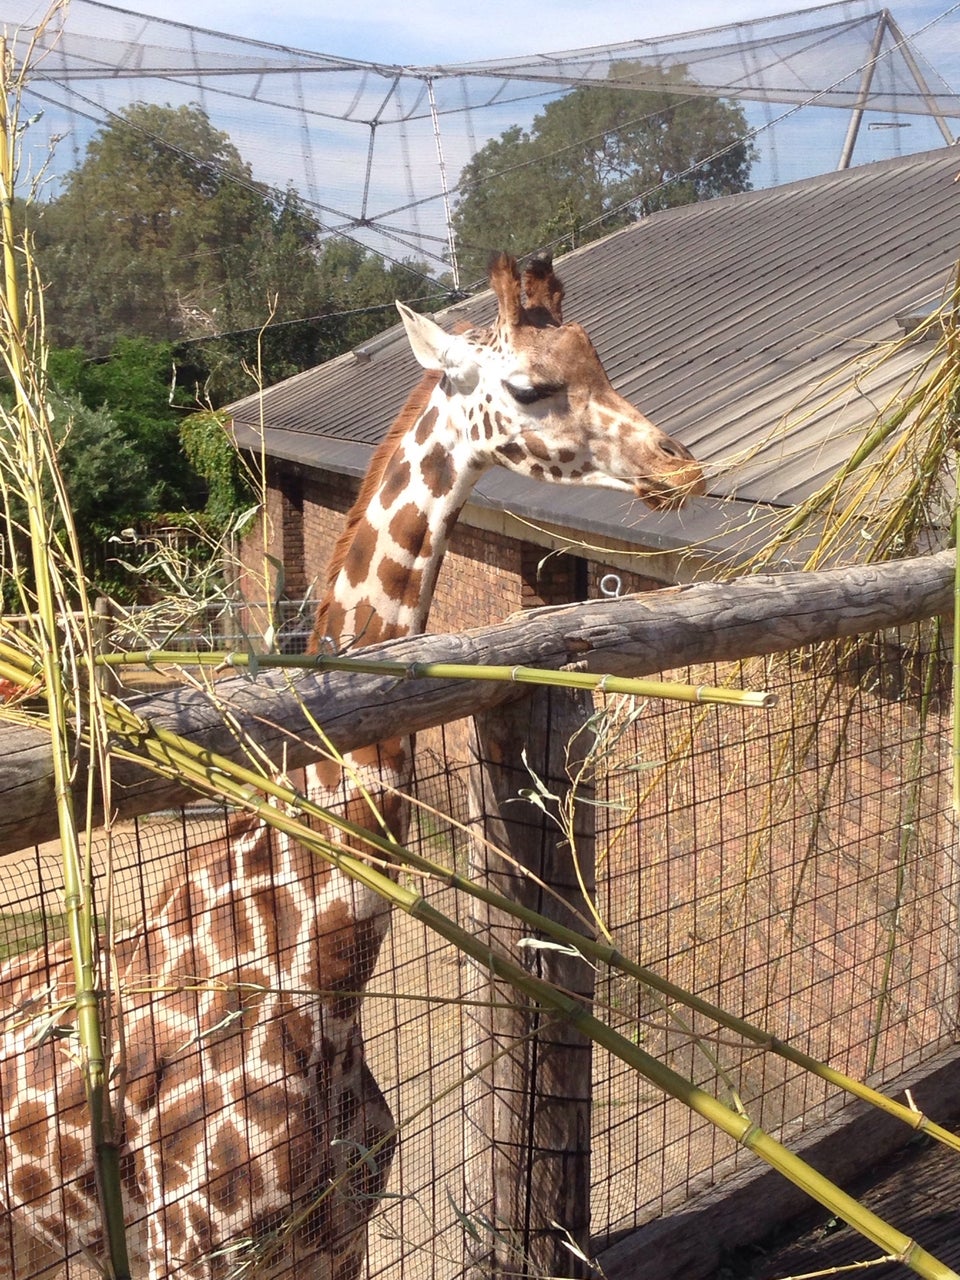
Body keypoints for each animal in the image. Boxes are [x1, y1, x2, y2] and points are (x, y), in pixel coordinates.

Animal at [0, 252, 706, 1280]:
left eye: (600, 360)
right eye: (530, 387)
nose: (677, 466)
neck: (319, 989)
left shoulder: (339, 1235)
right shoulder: (192, 1248)